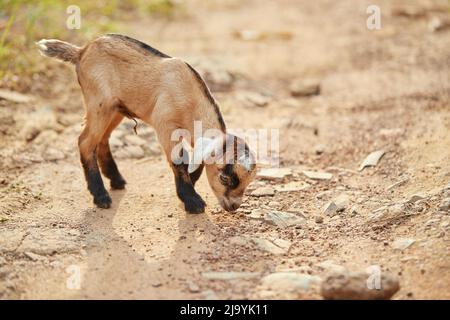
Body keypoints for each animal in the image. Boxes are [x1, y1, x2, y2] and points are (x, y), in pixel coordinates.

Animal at [37, 34, 256, 212]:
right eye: (224, 177)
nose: (233, 207)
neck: (190, 97)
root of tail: (82, 51)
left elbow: (196, 160)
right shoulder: (165, 125)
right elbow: (179, 161)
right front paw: (192, 201)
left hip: (115, 110)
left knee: (102, 139)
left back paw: (116, 180)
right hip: (99, 103)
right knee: (85, 142)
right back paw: (101, 196)